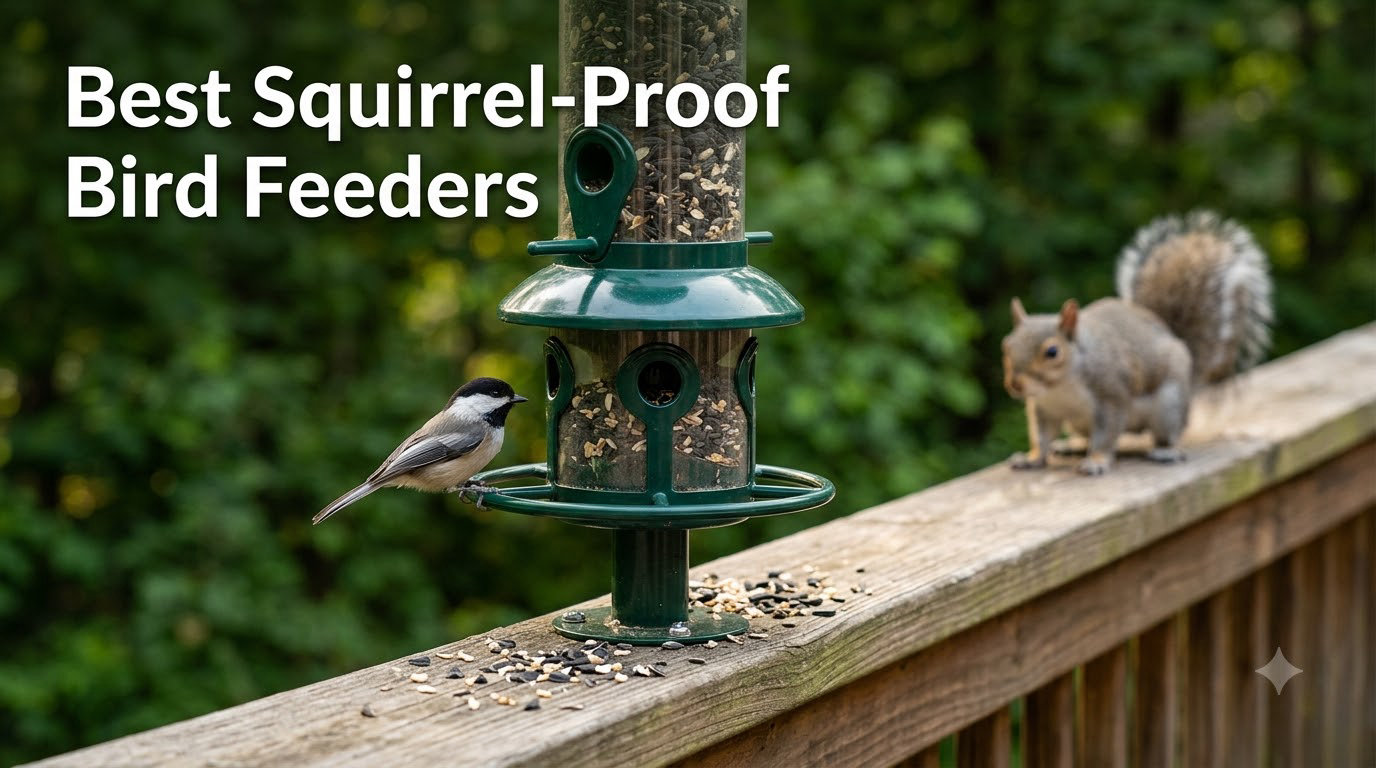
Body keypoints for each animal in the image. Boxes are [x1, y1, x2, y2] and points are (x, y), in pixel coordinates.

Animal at [1001, 210, 1273, 475]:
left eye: (1052, 352)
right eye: (1006, 346)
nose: (1015, 384)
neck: (1059, 388)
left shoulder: (1112, 395)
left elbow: (1106, 435)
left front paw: (1097, 461)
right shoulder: (1044, 409)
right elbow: (1042, 437)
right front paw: (1031, 458)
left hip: (1169, 405)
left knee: (1167, 434)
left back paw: (1165, 451)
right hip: (1079, 423)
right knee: (1084, 437)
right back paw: (1072, 446)